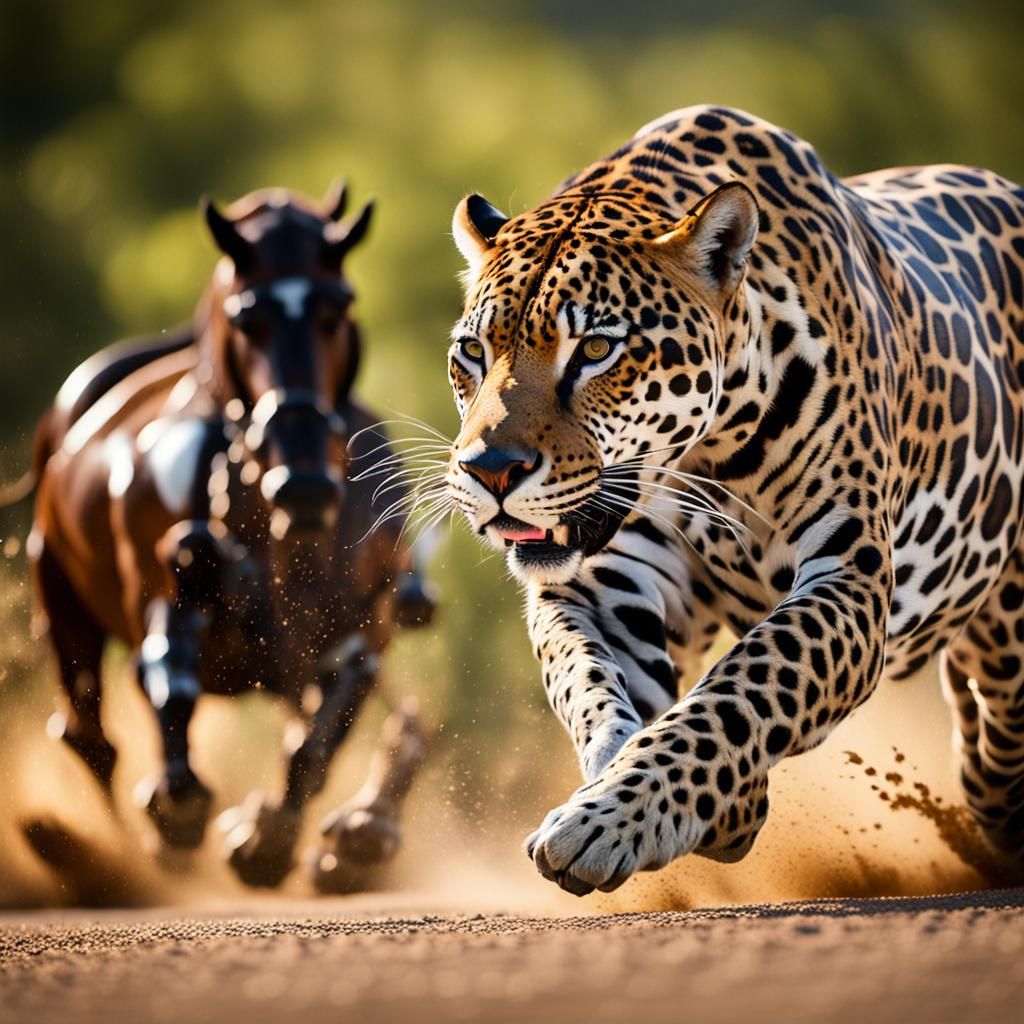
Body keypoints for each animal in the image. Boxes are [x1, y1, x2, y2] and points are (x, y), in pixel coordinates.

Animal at [18, 182, 437, 889]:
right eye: (248, 318)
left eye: (338, 307)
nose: (304, 484)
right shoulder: (169, 593)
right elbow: (167, 675)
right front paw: (178, 812)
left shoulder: (357, 628)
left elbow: (322, 735)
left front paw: (277, 838)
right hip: (63, 599)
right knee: (90, 737)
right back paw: (118, 861)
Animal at [440, 104, 1024, 896]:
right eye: (473, 352)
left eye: (594, 349)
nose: (491, 470)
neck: (707, 452)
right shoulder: (605, 585)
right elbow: (593, 687)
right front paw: (665, 796)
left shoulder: (849, 577)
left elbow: (740, 692)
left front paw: (610, 821)